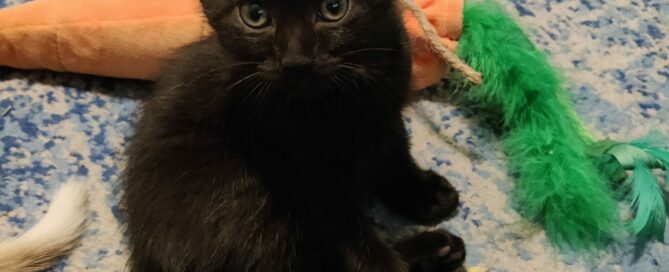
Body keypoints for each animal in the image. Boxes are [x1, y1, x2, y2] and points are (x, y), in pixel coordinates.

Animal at [121, 1, 464, 270]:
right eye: (255, 14)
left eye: (334, 8)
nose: (295, 60)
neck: (344, 98)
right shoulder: (312, 178)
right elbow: (354, 242)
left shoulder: (386, 117)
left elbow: (395, 157)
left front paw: (426, 193)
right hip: (245, 196)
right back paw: (434, 250)